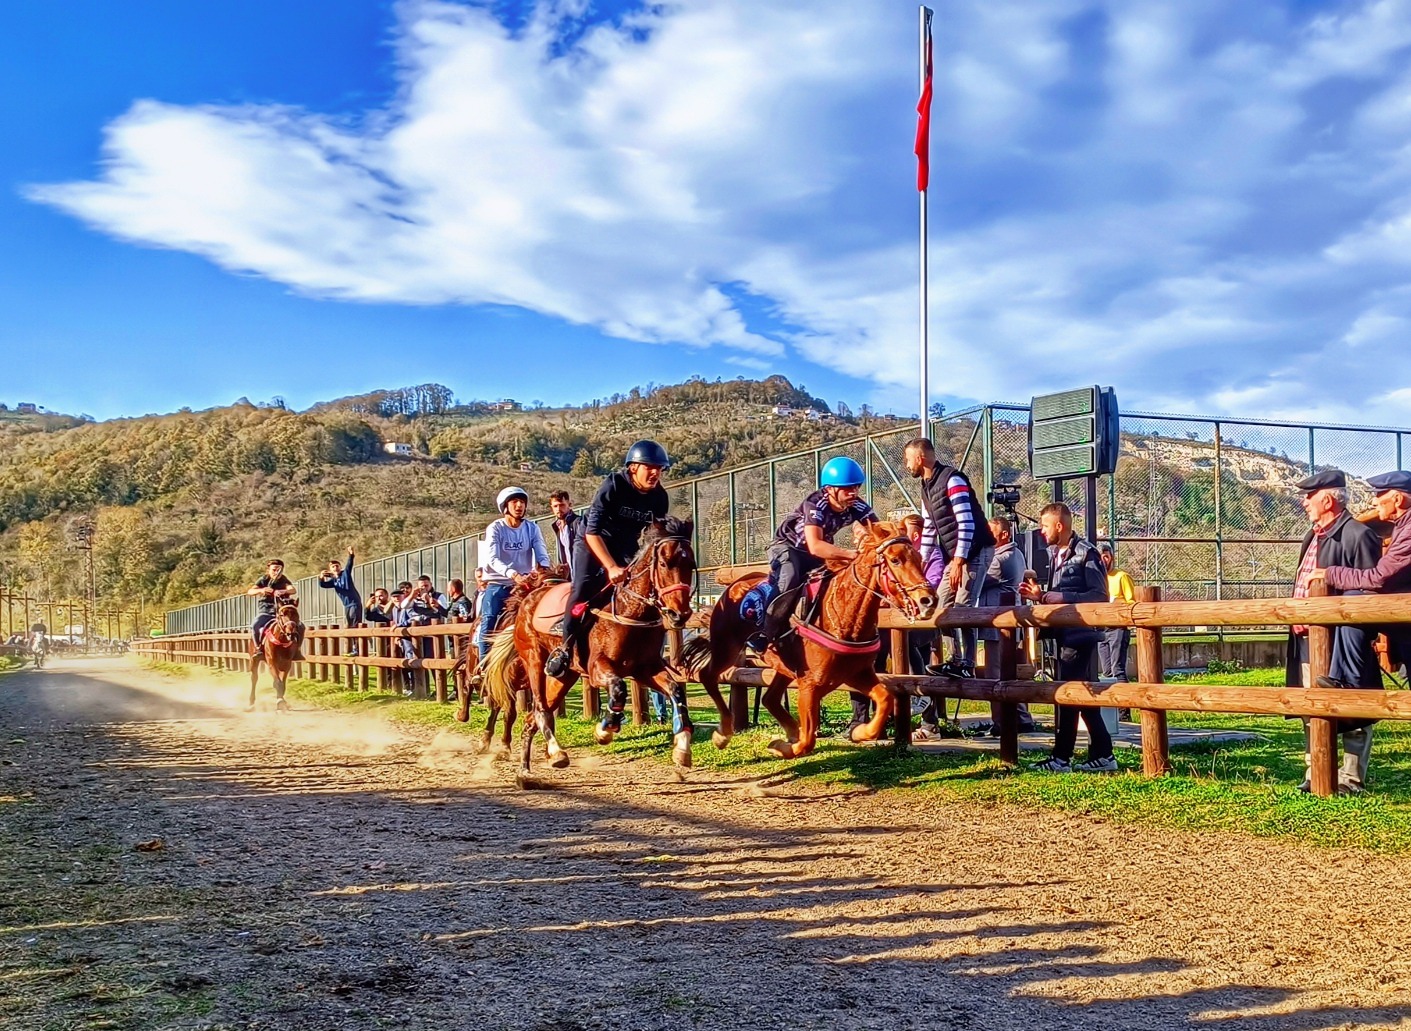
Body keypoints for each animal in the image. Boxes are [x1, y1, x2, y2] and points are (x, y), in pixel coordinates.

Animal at [482, 519, 711, 784]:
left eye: (690, 563)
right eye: (664, 563)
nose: (679, 614)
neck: (631, 610)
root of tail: (526, 599)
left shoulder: (646, 669)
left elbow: (675, 690)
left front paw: (682, 748)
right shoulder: (597, 668)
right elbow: (619, 689)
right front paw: (605, 730)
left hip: (564, 677)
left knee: (532, 718)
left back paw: (524, 772)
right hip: (535, 662)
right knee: (539, 710)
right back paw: (556, 753)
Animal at [680, 524, 936, 755]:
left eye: (919, 557)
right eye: (895, 560)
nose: (928, 600)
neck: (842, 615)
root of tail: (734, 587)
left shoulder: (857, 673)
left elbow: (884, 699)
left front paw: (859, 732)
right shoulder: (810, 685)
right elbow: (807, 741)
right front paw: (784, 747)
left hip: (782, 667)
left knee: (770, 699)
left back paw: (788, 731)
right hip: (726, 647)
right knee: (708, 676)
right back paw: (723, 732)